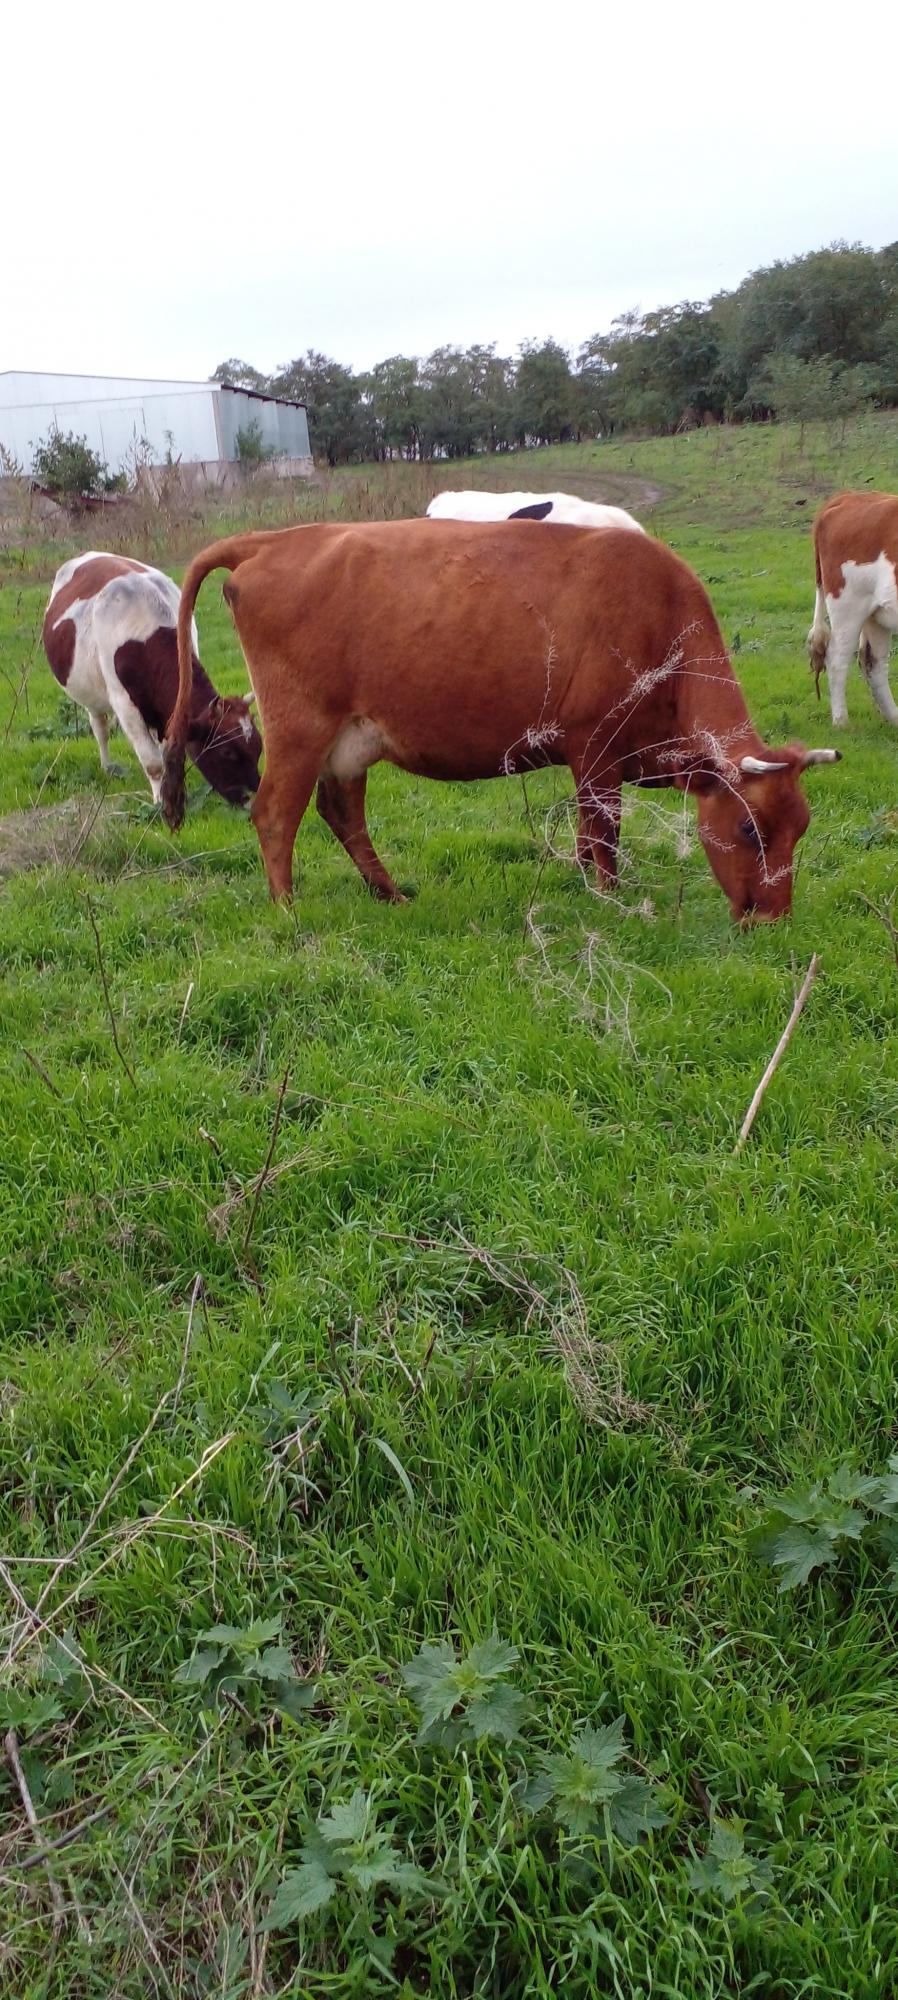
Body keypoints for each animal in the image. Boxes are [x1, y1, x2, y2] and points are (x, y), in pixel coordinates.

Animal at [43, 556, 260, 804]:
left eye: (259, 747)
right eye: (227, 752)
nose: (254, 798)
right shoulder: (124, 704)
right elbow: (153, 762)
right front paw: (159, 801)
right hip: (90, 693)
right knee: (100, 728)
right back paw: (107, 766)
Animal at [161, 516, 840, 920]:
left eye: (802, 828)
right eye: (750, 828)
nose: (773, 917)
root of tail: (275, 538)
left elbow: (587, 833)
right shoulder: (596, 746)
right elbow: (604, 829)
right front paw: (609, 900)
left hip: (348, 740)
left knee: (341, 813)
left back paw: (390, 893)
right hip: (300, 729)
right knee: (276, 813)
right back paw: (287, 908)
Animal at [804, 490, 896, 728]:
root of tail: (848, 496)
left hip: (877, 615)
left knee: (873, 662)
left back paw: (894, 717)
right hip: (848, 606)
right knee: (837, 658)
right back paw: (841, 721)